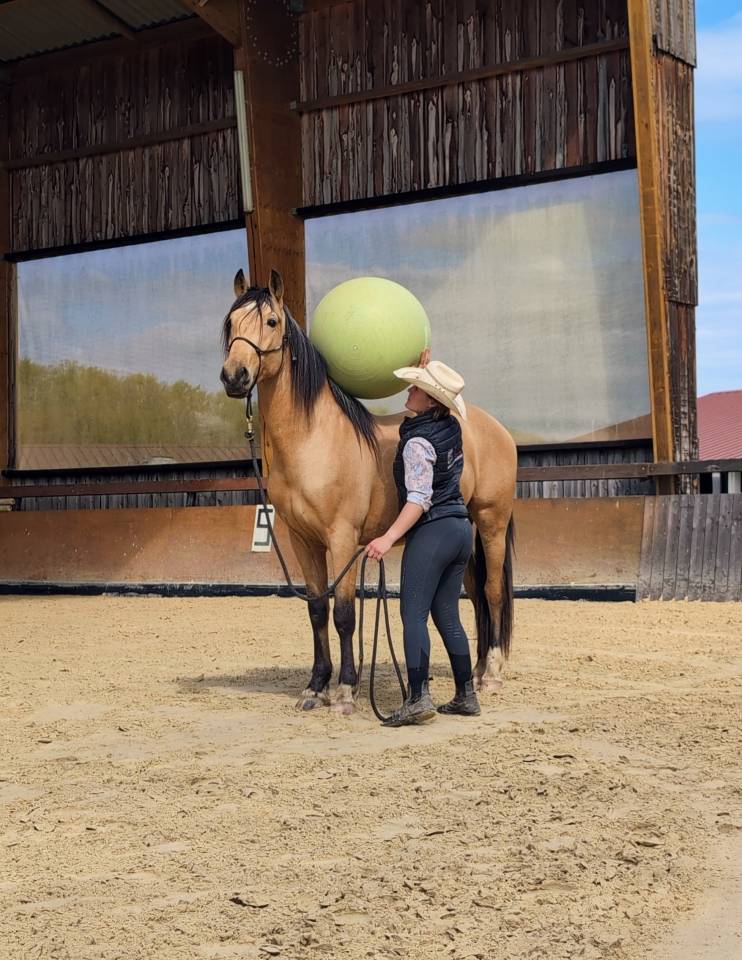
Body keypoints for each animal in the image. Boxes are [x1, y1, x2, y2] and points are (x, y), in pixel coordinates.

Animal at [220, 269, 517, 715]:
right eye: (230, 323)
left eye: (271, 321)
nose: (234, 376)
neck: (314, 440)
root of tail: (494, 427)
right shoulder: (303, 541)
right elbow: (317, 610)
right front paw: (315, 688)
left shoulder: (342, 540)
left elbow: (344, 614)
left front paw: (345, 692)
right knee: (475, 596)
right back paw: (478, 671)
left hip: (491, 522)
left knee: (492, 591)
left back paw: (493, 676)